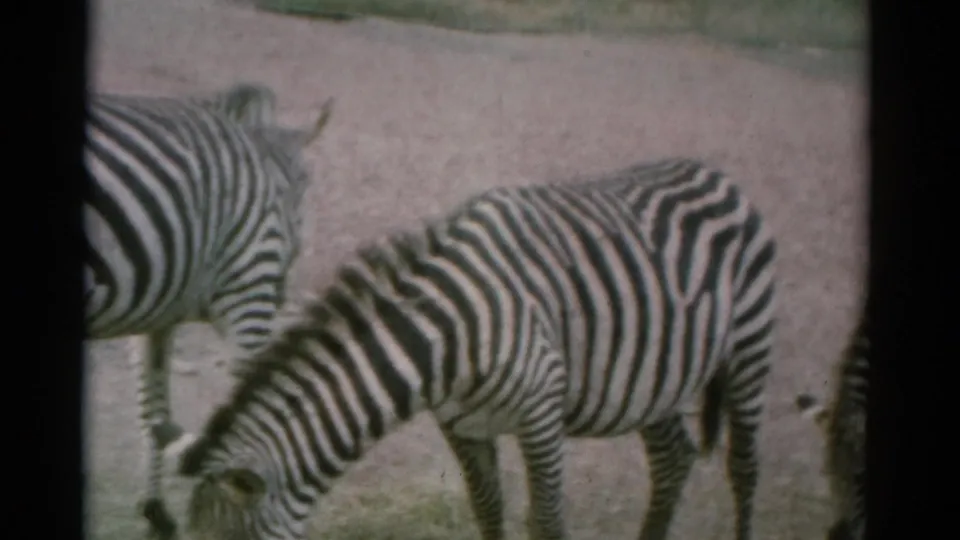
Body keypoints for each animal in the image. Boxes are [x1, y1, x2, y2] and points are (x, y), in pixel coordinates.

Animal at [84, 84, 333, 539]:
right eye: (303, 186)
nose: (282, 290)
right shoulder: (249, 292)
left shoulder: (155, 309)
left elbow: (152, 411)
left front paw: (155, 513)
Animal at [162, 158, 777, 540]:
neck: (443, 339)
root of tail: (715, 174)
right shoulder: (459, 423)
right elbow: (488, 510)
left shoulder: (540, 412)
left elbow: (546, 521)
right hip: (656, 377)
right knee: (673, 459)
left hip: (749, 349)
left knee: (744, 468)